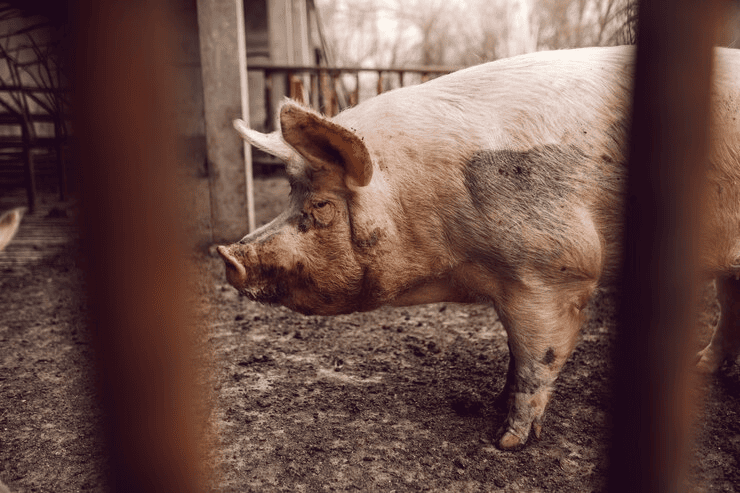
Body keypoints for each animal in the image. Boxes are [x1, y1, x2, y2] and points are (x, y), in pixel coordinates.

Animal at [217, 45, 740, 450]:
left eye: (323, 207)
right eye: (291, 193)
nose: (229, 258)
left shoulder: (556, 272)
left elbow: (537, 358)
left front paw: (505, 441)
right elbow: (513, 351)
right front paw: (493, 403)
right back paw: (700, 369)